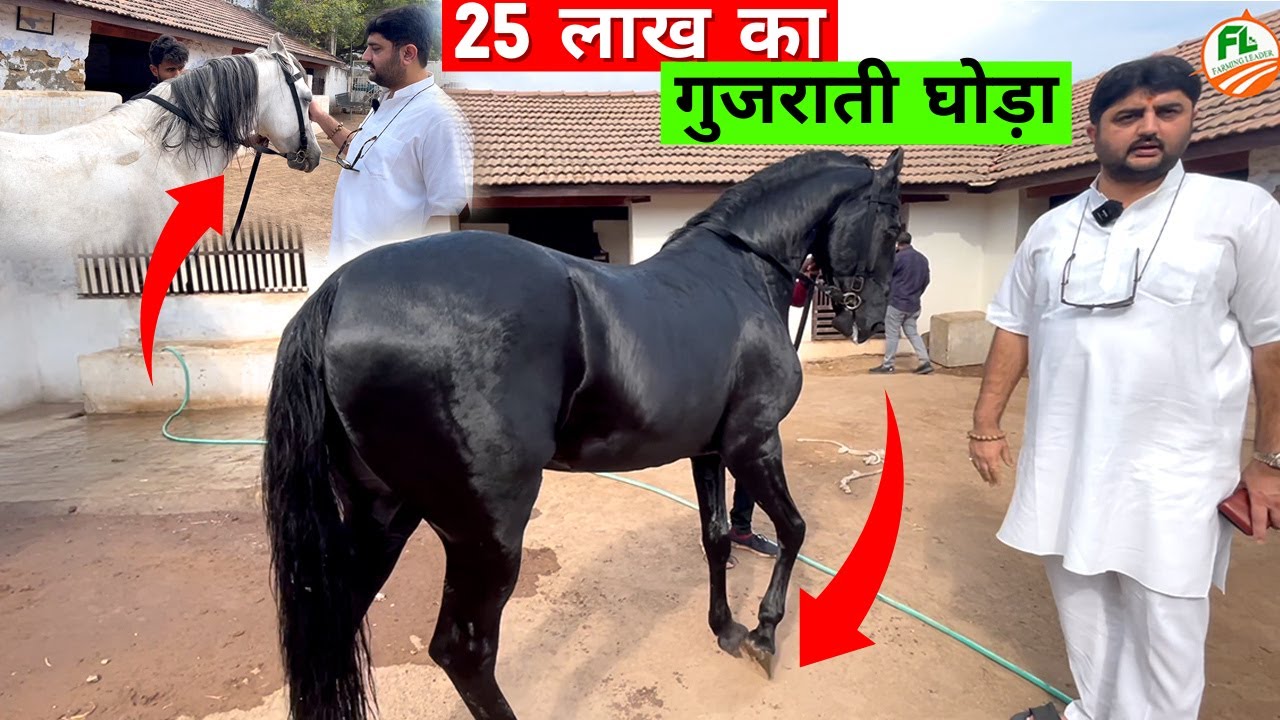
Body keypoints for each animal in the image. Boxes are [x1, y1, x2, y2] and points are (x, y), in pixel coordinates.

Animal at [261, 146, 907, 720]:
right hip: (486, 535)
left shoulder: (709, 451)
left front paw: (726, 629)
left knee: (339, 621)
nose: (869, 320)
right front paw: (765, 634)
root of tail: (336, 291)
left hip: (384, 513)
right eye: (895, 229)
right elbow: (794, 530)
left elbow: (718, 538)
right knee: (464, 652)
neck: (739, 274)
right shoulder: (755, 442)